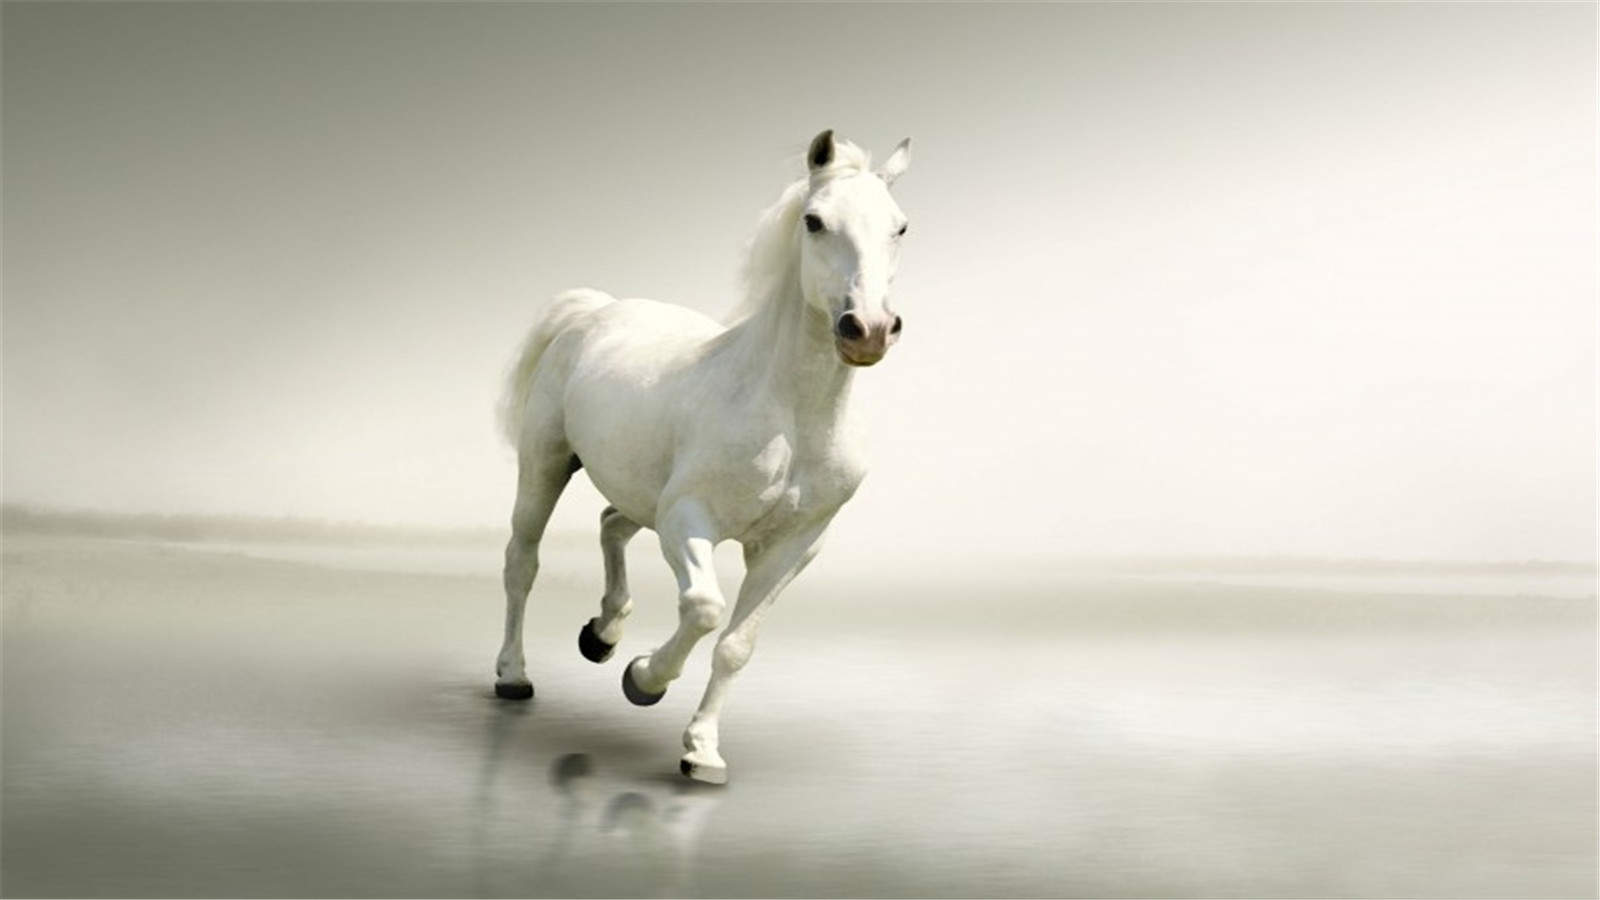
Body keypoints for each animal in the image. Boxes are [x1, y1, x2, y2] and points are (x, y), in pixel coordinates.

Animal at [493, 129, 912, 784]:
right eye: (815, 221)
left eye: (900, 226)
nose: (867, 329)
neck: (791, 415)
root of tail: (596, 309)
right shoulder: (689, 520)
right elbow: (705, 609)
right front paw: (643, 680)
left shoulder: (794, 547)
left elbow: (737, 645)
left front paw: (702, 752)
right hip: (545, 464)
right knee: (522, 561)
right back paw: (514, 674)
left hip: (638, 490)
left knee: (610, 523)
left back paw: (603, 634)